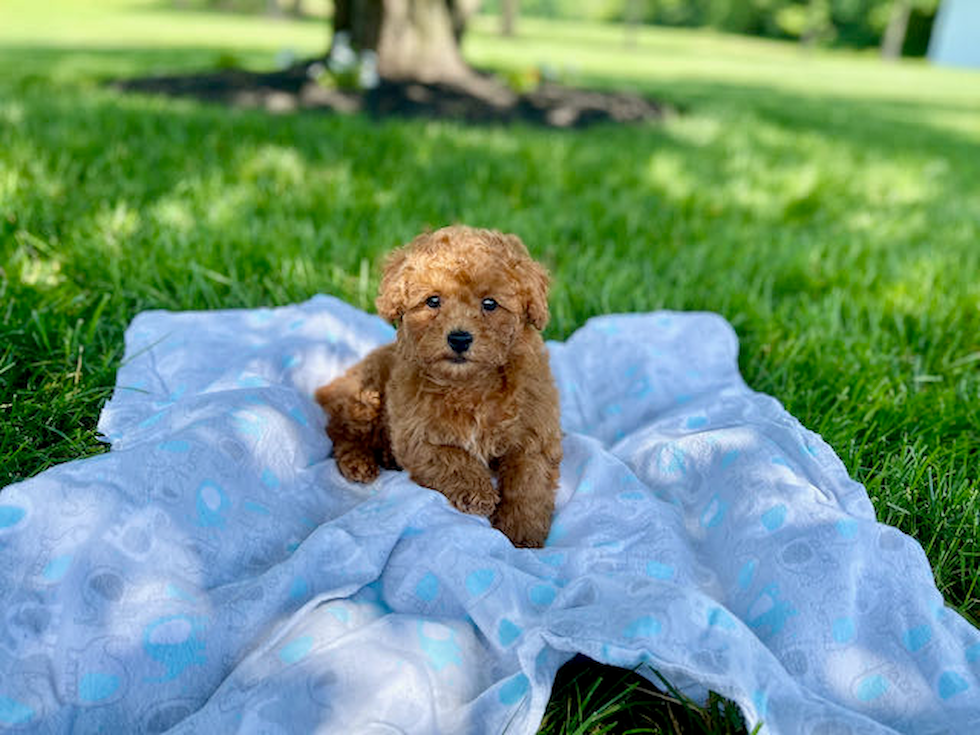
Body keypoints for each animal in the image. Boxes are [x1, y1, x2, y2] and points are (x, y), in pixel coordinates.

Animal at [314, 227, 560, 548]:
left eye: (490, 304)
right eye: (433, 301)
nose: (459, 338)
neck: (469, 385)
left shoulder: (534, 432)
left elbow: (529, 481)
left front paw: (522, 532)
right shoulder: (416, 435)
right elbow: (452, 457)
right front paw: (479, 492)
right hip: (365, 395)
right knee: (341, 431)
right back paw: (359, 462)